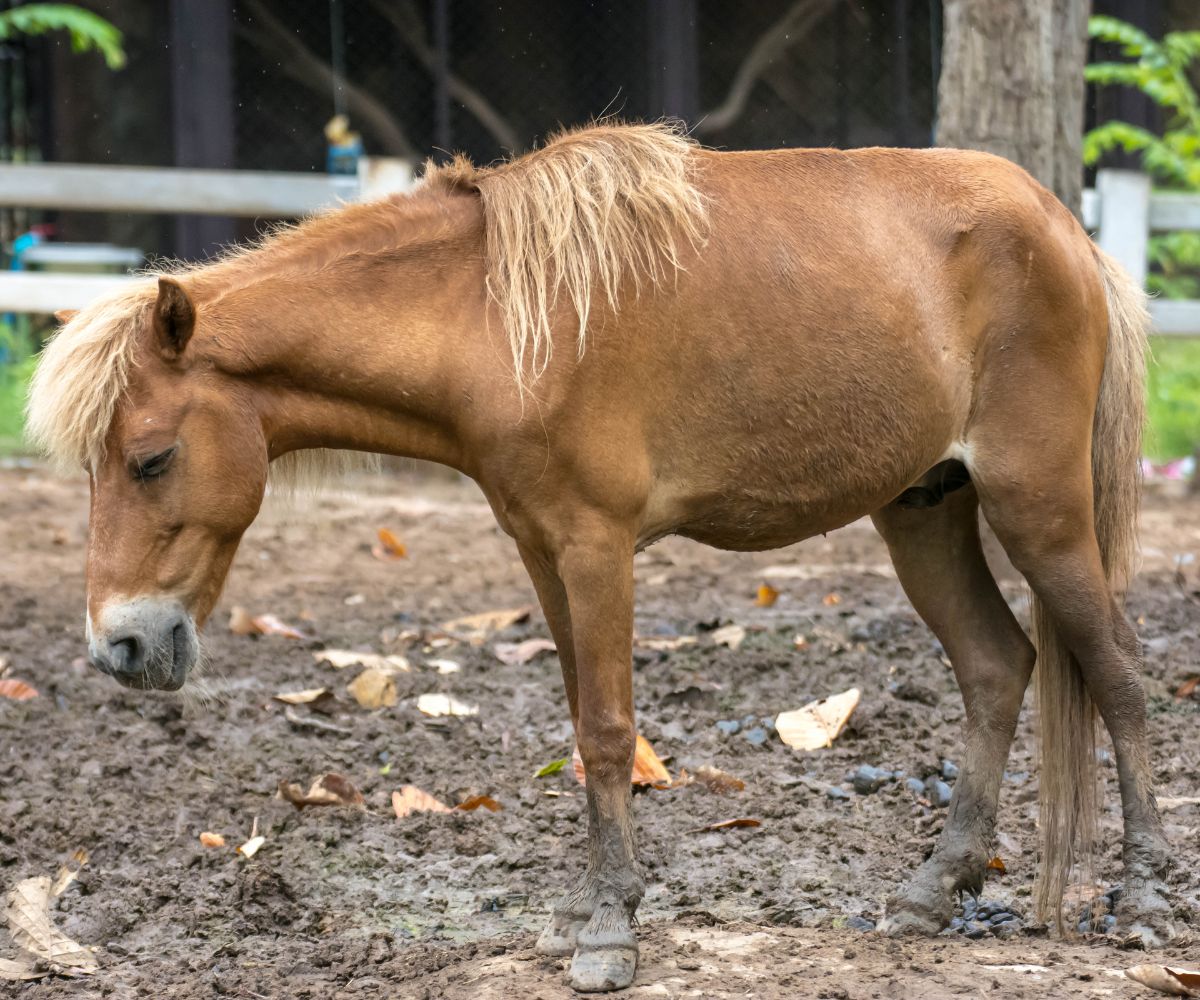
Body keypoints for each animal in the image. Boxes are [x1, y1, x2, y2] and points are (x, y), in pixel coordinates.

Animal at [25, 121, 1171, 989]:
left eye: (150, 458)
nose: (120, 648)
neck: (489, 315)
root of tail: (1064, 231)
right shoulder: (541, 551)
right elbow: (581, 724)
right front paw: (592, 908)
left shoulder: (596, 544)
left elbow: (611, 732)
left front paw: (611, 934)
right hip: (925, 511)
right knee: (996, 666)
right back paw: (933, 891)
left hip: (1039, 507)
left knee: (1116, 670)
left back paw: (1145, 896)